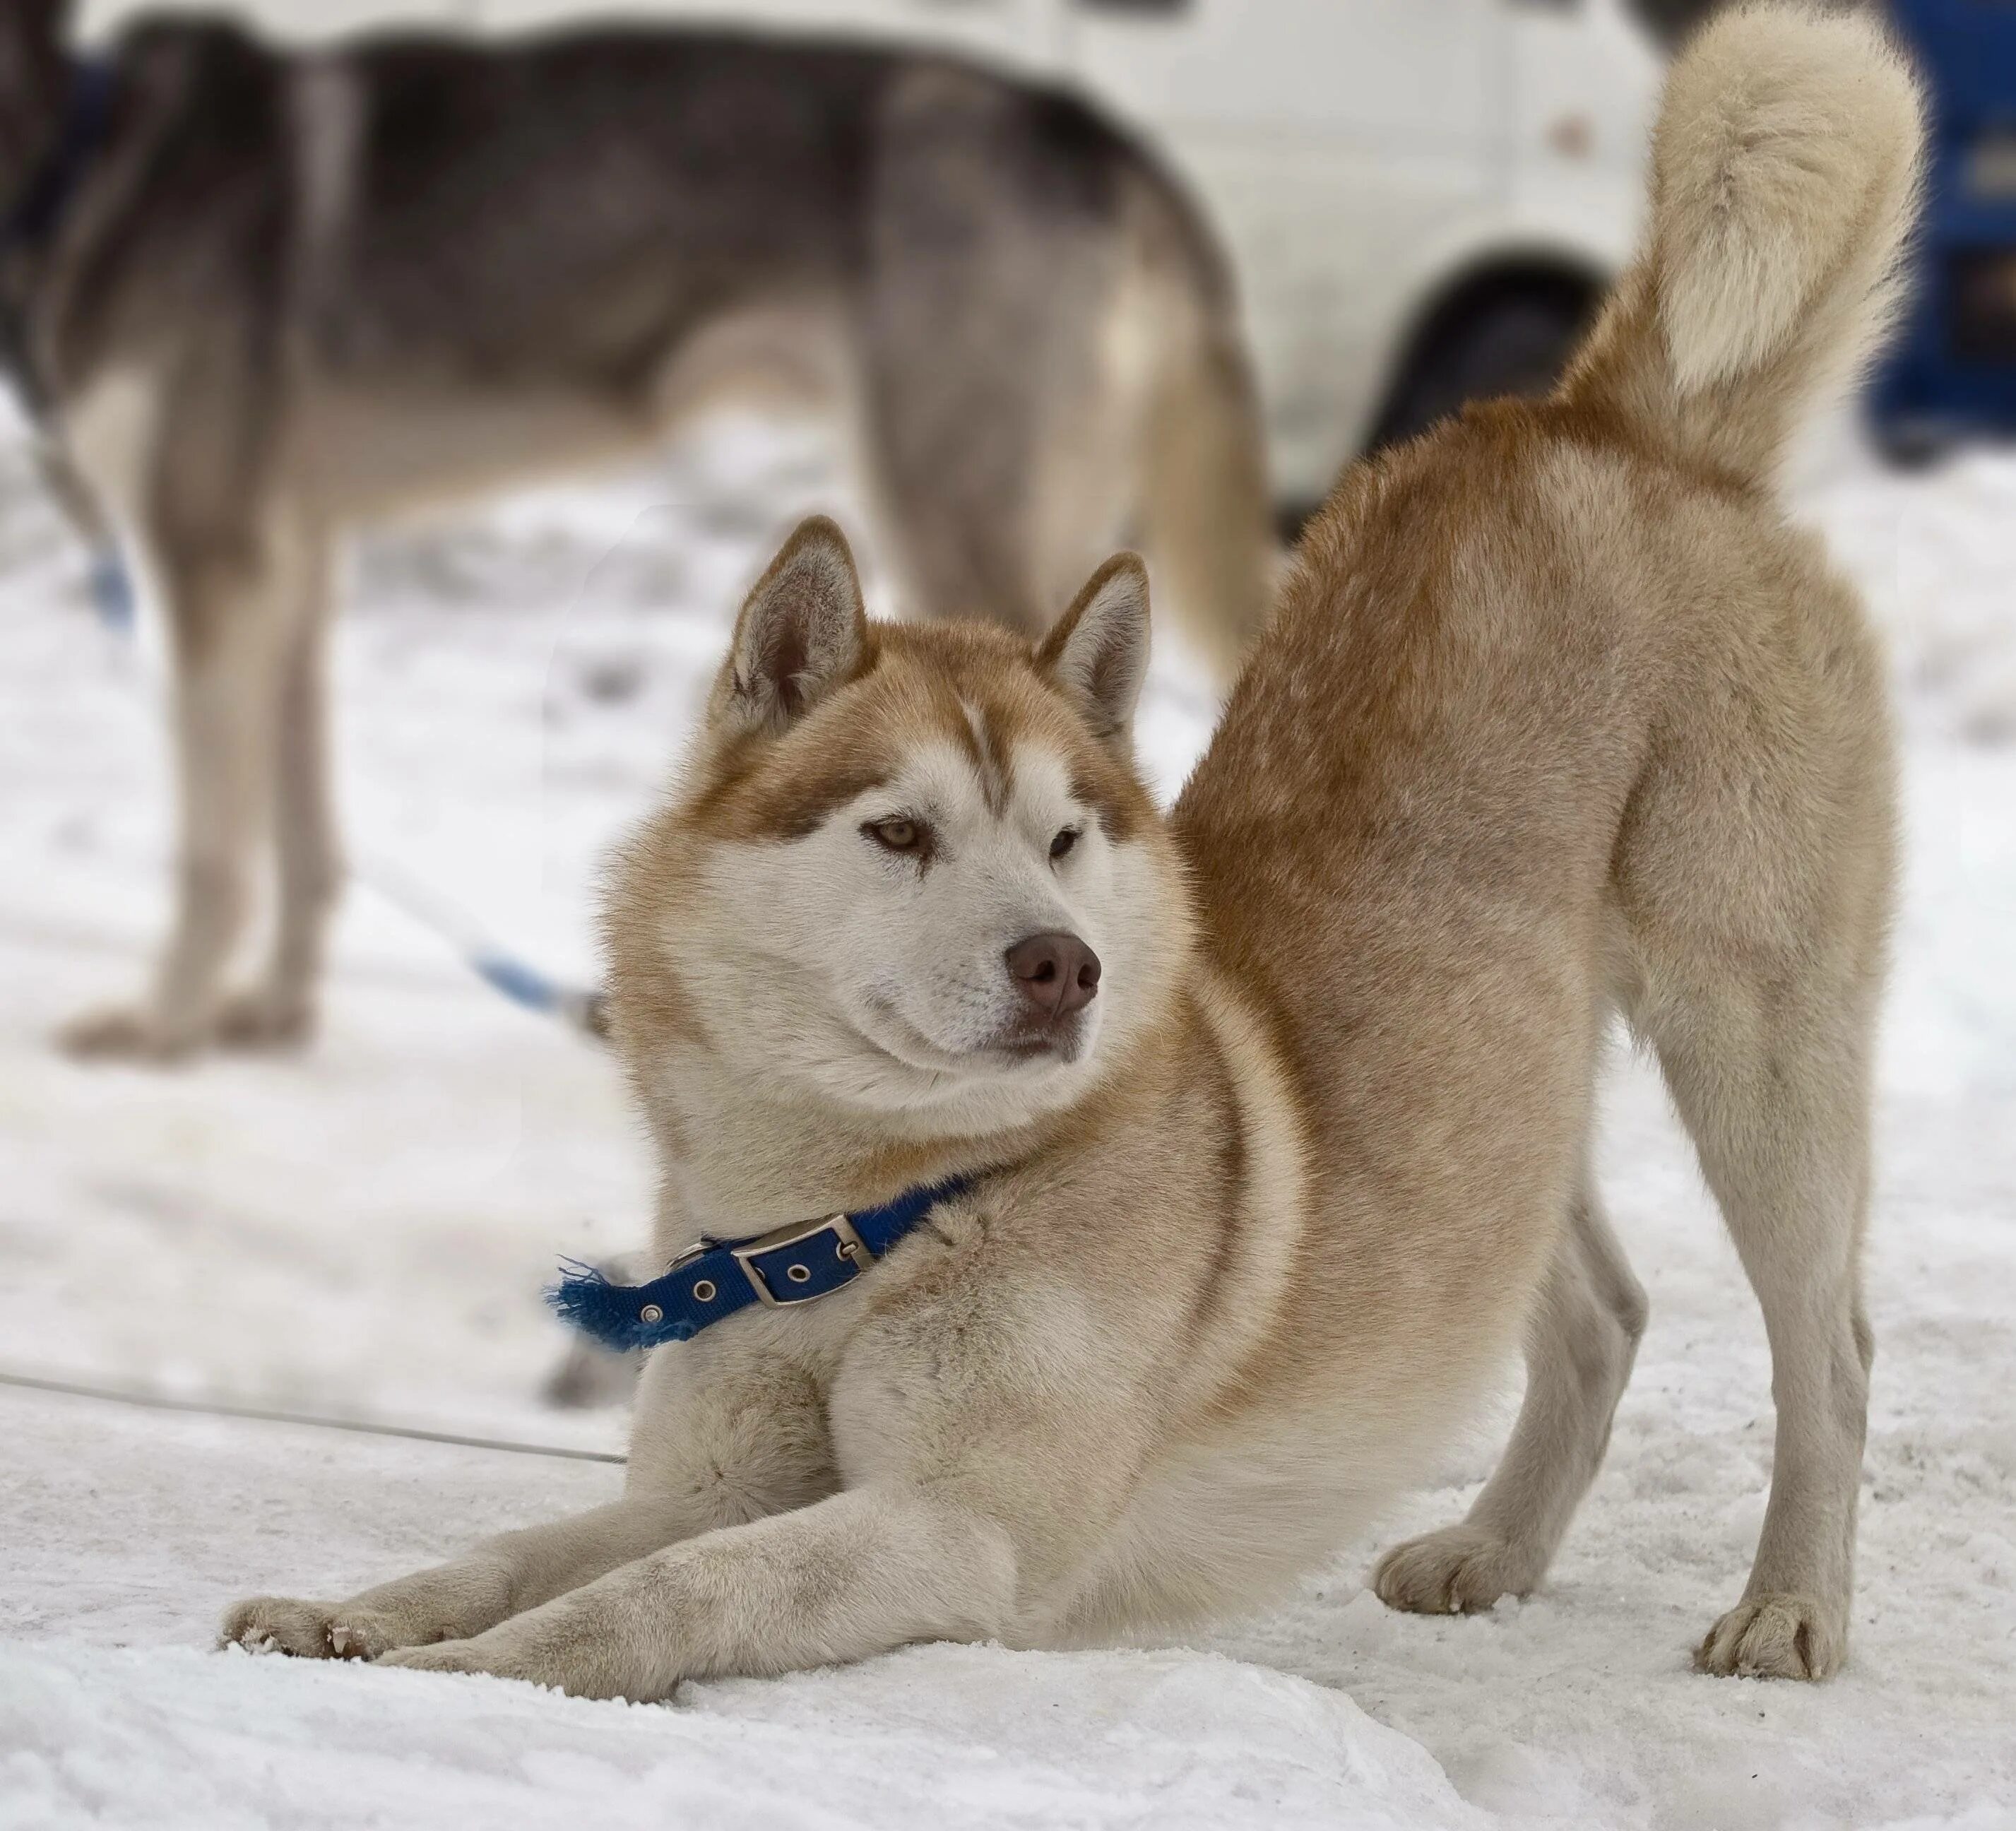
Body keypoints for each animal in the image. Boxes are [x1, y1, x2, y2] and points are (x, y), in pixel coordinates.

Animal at [0, 0, 1266, 1056]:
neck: (81, 166)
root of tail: (1092, 132)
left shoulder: (212, 561)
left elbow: (213, 848)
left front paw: (162, 1026)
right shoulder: (291, 567)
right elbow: (301, 832)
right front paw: (268, 1011)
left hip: (963, 533)